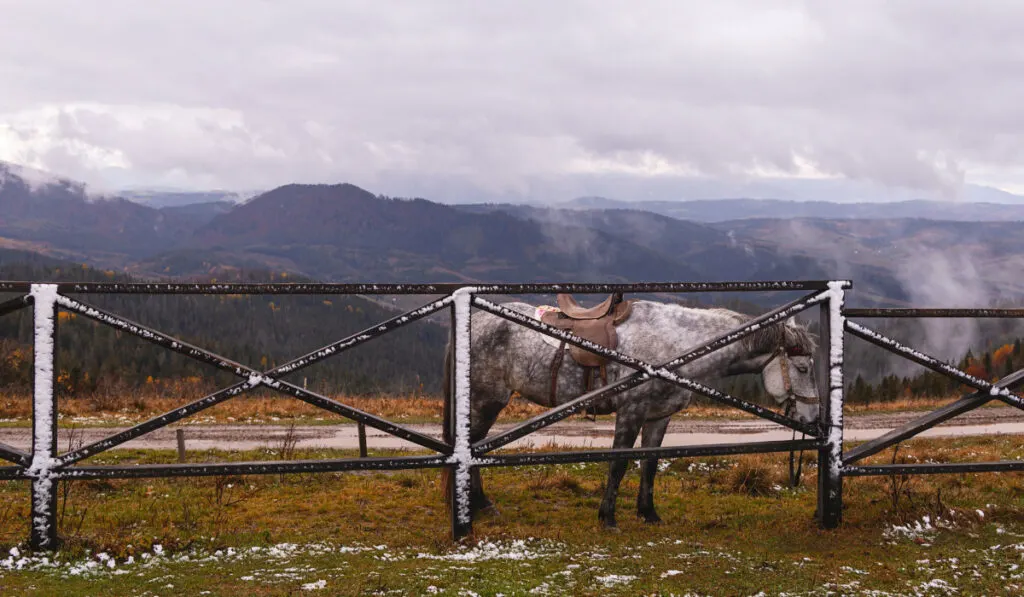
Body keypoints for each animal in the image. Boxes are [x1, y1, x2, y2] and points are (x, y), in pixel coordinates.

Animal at [444, 299, 819, 528]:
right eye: (802, 368)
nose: (813, 419)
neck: (676, 350)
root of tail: (476, 317)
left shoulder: (658, 417)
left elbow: (649, 464)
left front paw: (648, 513)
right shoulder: (631, 412)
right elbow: (619, 463)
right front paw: (607, 517)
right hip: (485, 401)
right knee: (472, 448)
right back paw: (480, 504)